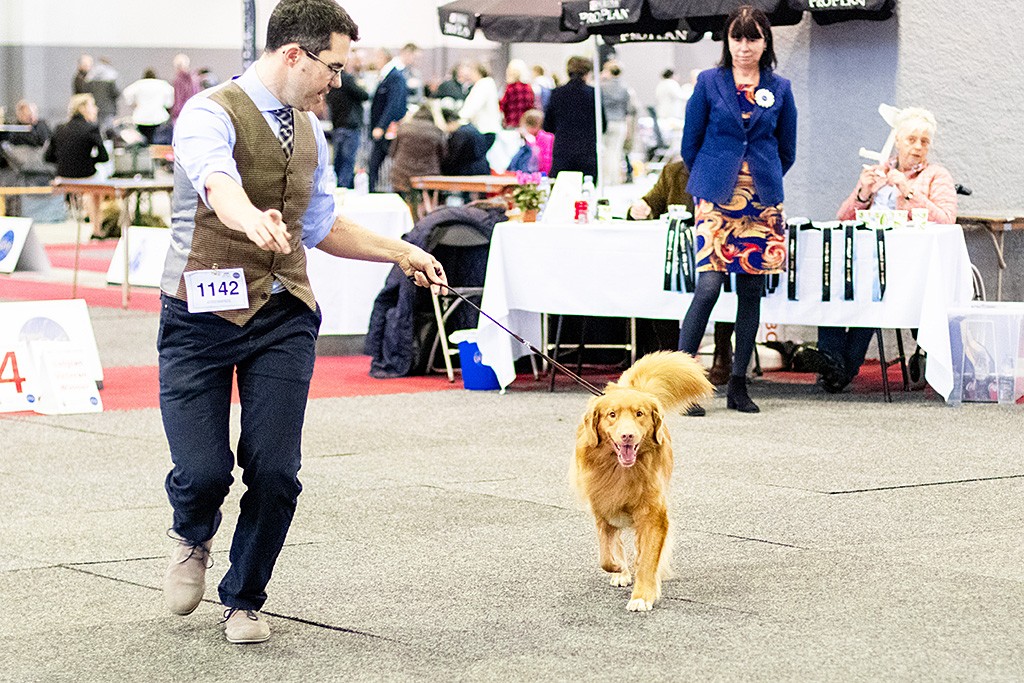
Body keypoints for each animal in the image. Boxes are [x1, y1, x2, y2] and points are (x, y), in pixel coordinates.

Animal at [577, 350, 712, 610]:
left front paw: (642, 595)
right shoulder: (602, 507)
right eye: (612, 415)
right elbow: (606, 554)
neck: (622, 471)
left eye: (639, 414)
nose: (627, 435)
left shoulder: (653, 515)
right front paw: (619, 568)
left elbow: (648, 558)